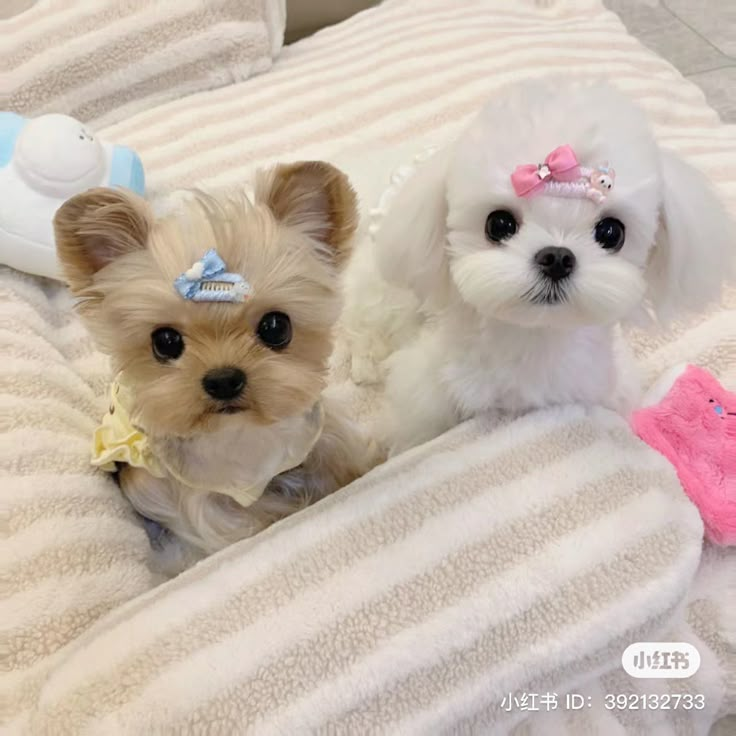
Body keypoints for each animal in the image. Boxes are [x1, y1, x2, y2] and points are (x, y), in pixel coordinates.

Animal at [348, 83, 732, 458]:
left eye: (611, 232)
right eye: (498, 224)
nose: (557, 257)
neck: (535, 340)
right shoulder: (427, 397)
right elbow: (415, 431)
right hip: (388, 284)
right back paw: (363, 359)